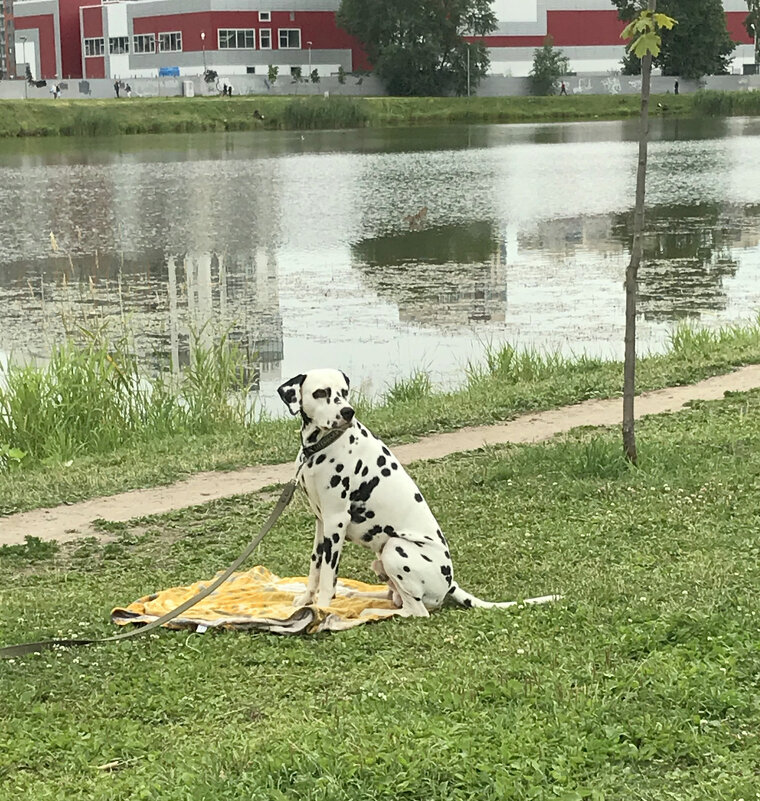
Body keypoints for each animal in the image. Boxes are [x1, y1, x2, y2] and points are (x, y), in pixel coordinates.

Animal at [276, 366, 548, 616]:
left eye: (344, 392)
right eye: (321, 393)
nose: (347, 412)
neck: (319, 448)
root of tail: (450, 584)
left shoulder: (336, 521)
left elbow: (327, 575)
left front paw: (321, 609)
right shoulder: (322, 523)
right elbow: (315, 569)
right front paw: (307, 600)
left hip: (395, 548)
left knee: (414, 610)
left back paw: (373, 612)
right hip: (381, 562)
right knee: (392, 596)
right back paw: (358, 596)